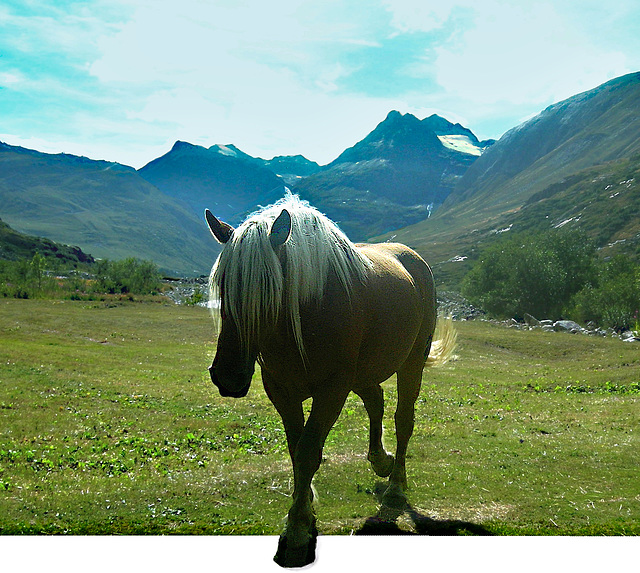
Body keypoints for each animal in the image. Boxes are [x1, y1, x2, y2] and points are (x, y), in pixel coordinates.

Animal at [205, 193, 456, 568]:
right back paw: (380, 460)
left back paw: (396, 483)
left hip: (410, 365)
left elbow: (308, 451)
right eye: (223, 285)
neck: (306, 313)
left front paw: (297, 528)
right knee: (375, 400)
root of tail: (414, 260)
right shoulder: (281, 390)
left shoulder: (332, 389)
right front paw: (304, 504)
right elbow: (296, 450)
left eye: (269, 288)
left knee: (403, 421)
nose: (228, 375)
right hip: (363, 373)